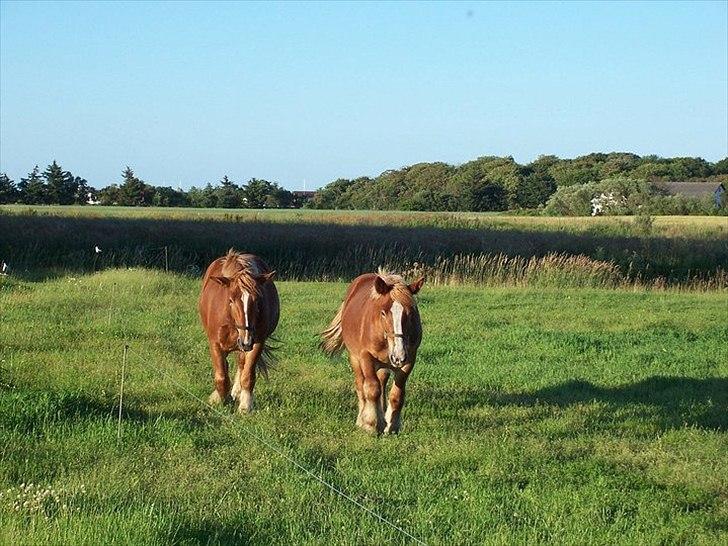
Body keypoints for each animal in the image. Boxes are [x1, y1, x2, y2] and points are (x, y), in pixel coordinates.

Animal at [199, 249, 278, 410]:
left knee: (241, 365)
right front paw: (220, 399)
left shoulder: (257, 343)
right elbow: (221, 376)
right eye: (230, 300)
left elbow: (247, 375)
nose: (246, 340)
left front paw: (245, 405)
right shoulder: (215, 344)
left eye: (257, 300)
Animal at [320, 270, 426, 432]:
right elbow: (371, 388)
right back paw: (362, 418)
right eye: (383, 313)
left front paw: (392, 425)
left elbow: (397, 395)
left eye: (410, 312)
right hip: (355, 358)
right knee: (361, 385)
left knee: (382, 382)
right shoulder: (366, 357)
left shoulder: (409, 360)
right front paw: (371, 423)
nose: (398, 356)